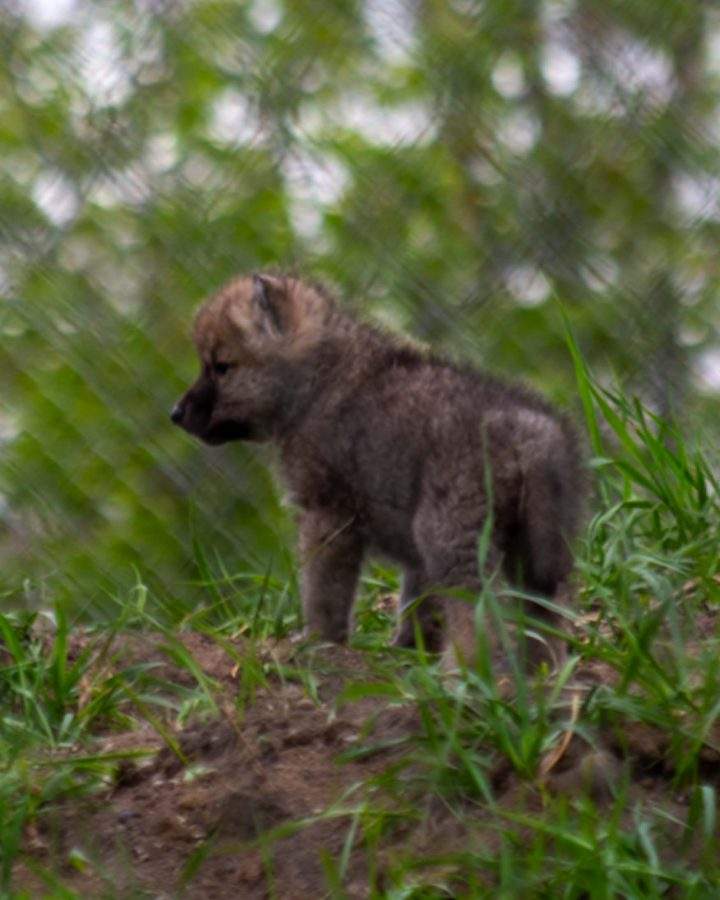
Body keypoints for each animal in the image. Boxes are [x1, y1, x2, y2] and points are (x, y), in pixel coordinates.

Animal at [172, 273, 585, 668]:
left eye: (221, 367)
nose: (175, 414)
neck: (318, 380)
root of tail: (529, 435)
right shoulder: (412, 550)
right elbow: (419, 603)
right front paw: (409, 650)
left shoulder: (327, 516)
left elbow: (324, 589)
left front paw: (317, 641)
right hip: (536, 550)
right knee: (546, 616)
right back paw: (541, 674)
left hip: (450, 535)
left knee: (477, 611)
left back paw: (464, 672)